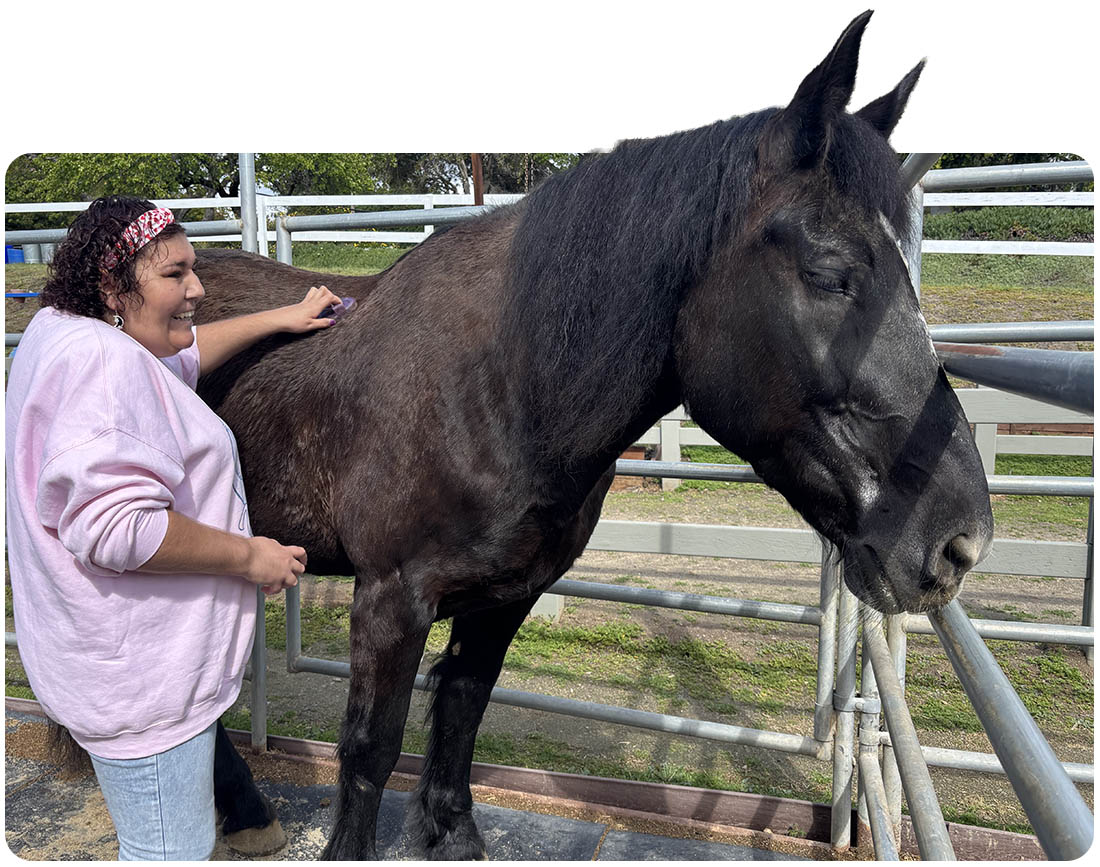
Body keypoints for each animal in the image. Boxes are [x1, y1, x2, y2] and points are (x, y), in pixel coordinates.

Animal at [194, 12, 993, 858]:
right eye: (831, 271)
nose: (960, 540)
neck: (501, 385)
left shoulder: (504, 596)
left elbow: (463, 707)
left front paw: (454, 831)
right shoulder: (391, 597)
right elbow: (371, 749)